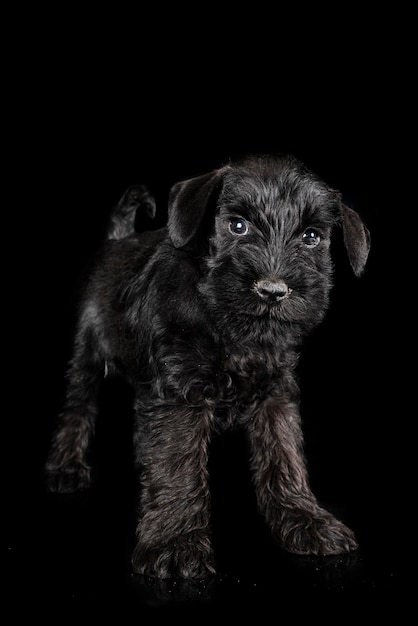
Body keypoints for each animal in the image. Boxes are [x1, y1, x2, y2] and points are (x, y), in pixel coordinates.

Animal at [45, 154, 370, 576]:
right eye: (237, 225)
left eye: (312, 236)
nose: (273, 290)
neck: (231, 330)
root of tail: (119, 240)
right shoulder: (181, 392)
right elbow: (177, 461)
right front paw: (174, 542)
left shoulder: (276, 394)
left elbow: (285, 457)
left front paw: (307, 521)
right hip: (87, 352)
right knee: (77, 409)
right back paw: (66, 467)